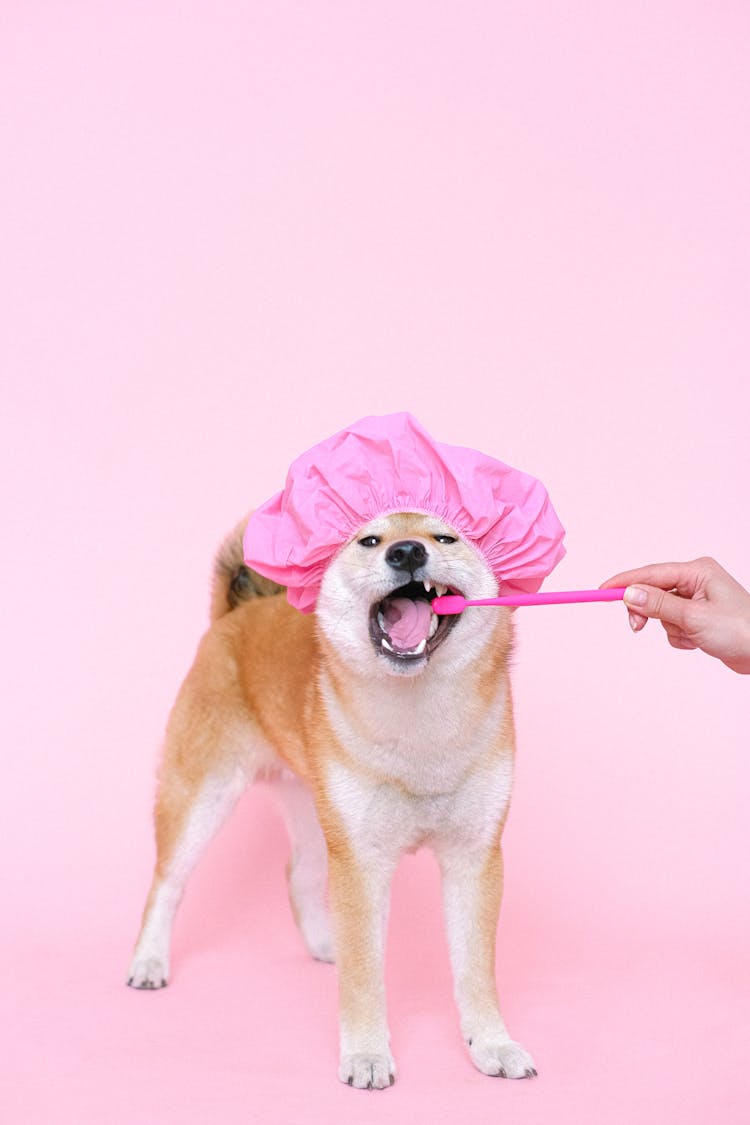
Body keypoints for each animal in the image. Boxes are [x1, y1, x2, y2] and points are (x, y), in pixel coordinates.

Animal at [130, 513, 539, 1089]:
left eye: (445, 538)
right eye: (370, 540)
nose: (407, 552)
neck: (422, 732)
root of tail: (237, 614)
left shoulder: (474, 858)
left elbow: (475, 970)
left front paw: (493, 1044)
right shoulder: (361, 861)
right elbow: (365, 972)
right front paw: (366, 1054)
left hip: (315, 811)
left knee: (296, 874)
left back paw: (326, 944)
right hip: (203, 796)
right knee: (167, 883)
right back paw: (148, 961)